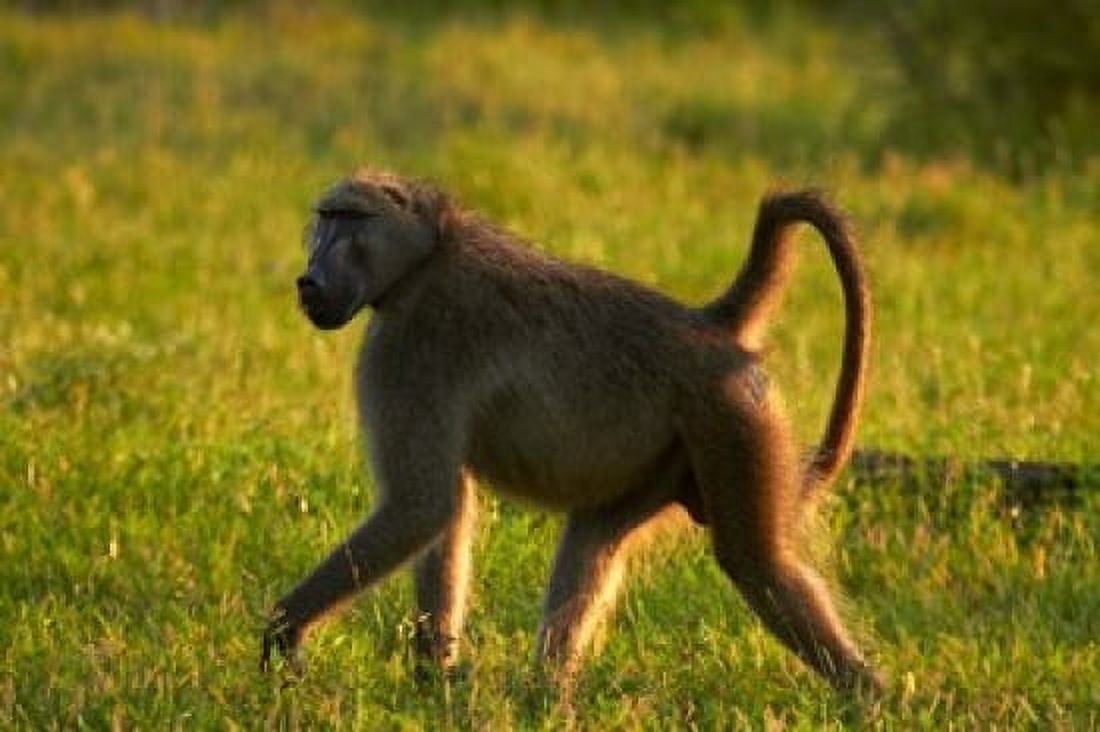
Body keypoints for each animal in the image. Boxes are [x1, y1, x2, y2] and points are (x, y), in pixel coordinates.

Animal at [260, 169, 882, 695]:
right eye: (324, 218)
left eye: (349, 218)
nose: (308, 281)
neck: (427, 256)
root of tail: (709, 324)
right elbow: (447, 509)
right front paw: (434, 677)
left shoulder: (411, 344)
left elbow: (421, 505)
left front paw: (284, 633)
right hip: (669, 457)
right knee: (593, 540)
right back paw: (546, 695)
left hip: (732, 419)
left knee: (757, 564)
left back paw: (867, 696)